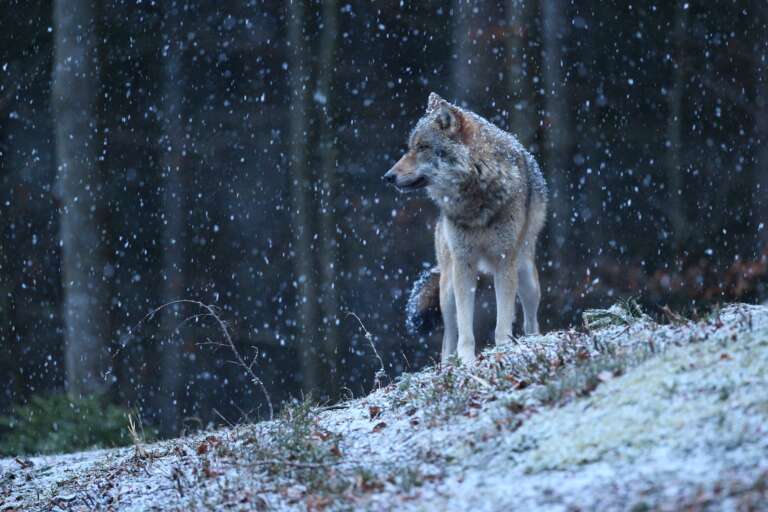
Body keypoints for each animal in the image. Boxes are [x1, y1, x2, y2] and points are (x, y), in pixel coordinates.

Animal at [384, 92, 544, 364]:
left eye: (422, 147)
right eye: (410, 147)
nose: (387, 177)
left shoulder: (504, 262)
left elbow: (503, 322)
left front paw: (503, 351)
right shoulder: (463, 264)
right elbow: (465, 328)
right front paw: (467, 360)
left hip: (526, 277)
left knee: (531, 320)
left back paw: (532, 341)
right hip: (447, 288)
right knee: (448, 336)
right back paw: (449, 363)